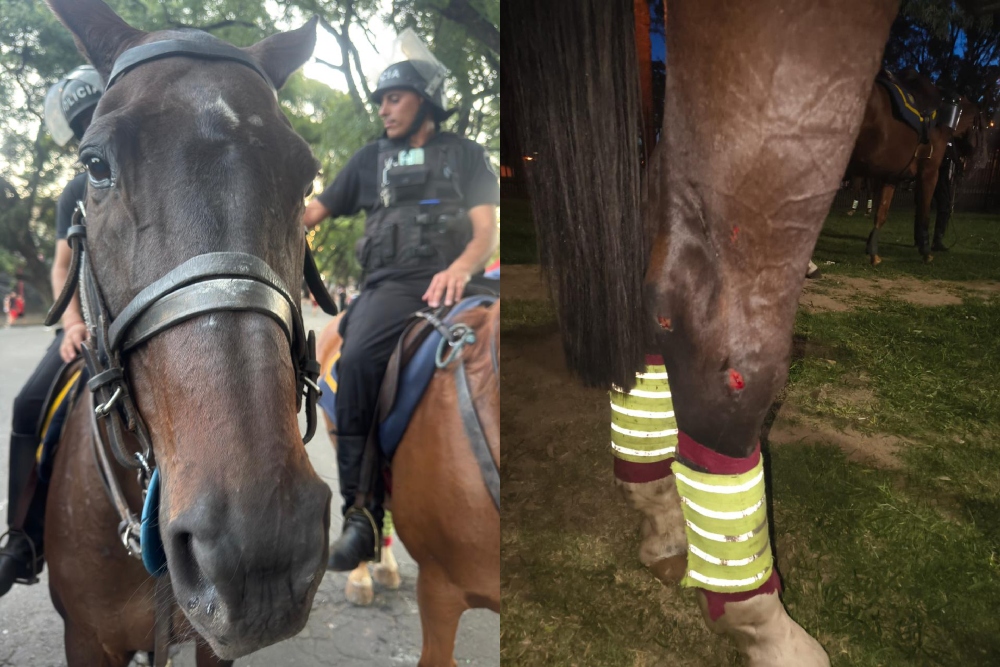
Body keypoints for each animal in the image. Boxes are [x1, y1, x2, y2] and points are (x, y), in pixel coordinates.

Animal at [849, 69, 985, 264]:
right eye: (981, 128)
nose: (977, 155)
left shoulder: (892, 176)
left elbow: (882, 212)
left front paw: (873, 251)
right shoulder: (929, 172)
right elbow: (924, 212)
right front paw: (926, 250)